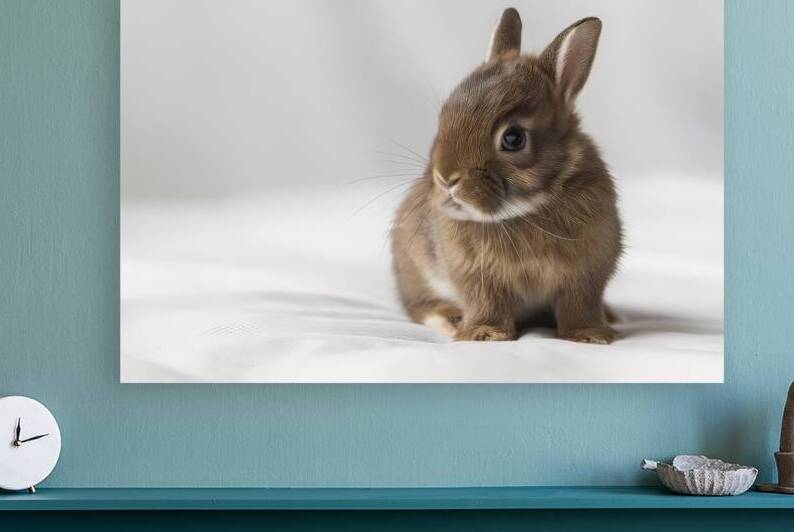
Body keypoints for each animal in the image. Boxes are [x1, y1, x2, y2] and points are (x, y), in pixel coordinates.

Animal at [391, 8, 622, 343]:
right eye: (444, 117)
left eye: (513, 138)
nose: (446, 179)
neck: (525, 211)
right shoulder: (477, 277)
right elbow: (486, 303)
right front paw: (484, 334)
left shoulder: (585, 275)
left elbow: (579, 305)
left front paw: (590, 335)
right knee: (418, 304)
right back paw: (449, 319)